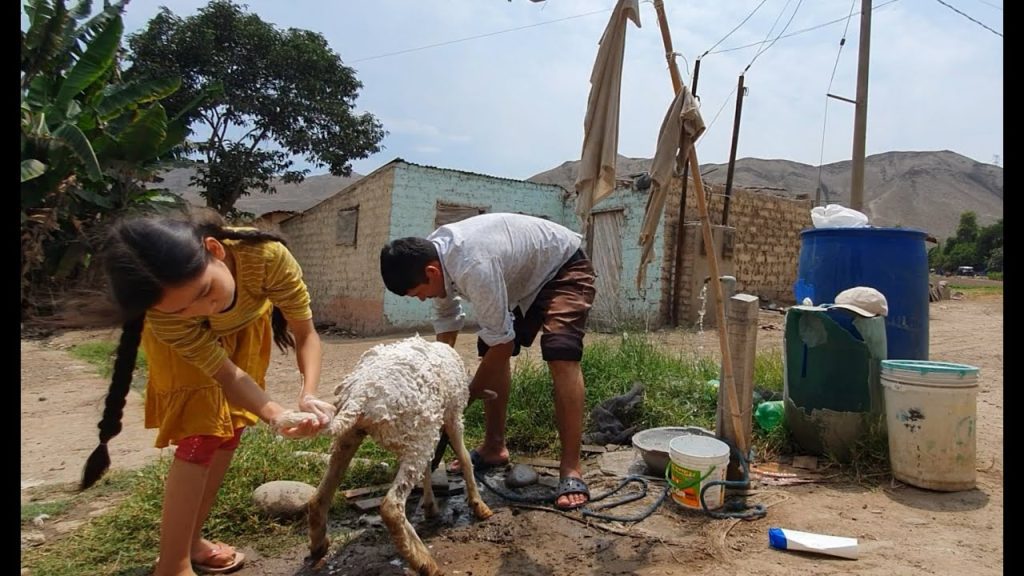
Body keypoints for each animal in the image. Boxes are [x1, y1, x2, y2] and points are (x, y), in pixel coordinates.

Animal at [276, 334, 491, 573]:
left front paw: (430, 506)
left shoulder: (426, 425)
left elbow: (428, 468)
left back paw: (318, 545)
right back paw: (424, 562)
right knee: (391, 507)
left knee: (319, 496)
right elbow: (464, 458)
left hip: (358, 435)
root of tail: (361, 395)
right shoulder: (451, 415)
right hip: (414, 434)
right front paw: (479, 505)